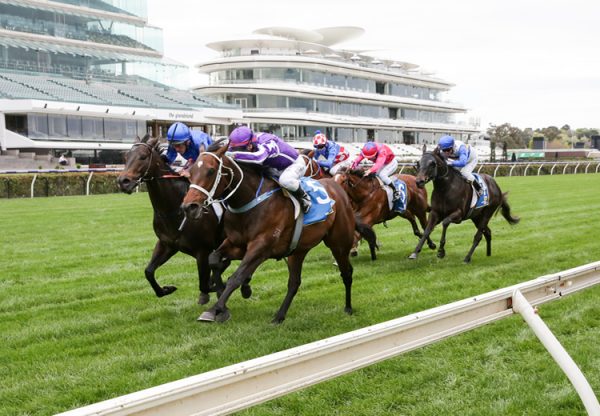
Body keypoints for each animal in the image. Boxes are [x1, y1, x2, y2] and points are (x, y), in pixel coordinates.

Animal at [116, 136, 230, 306]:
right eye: (125, 157)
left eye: (143, 156)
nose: (123, 181)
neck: (172, 209)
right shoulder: (167, 244)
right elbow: (148, 271)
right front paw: (166, 289)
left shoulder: (203, 251)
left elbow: (204, 284)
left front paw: (217, 287)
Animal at [180, 143, 358, 324]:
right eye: (191, 172)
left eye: (210, 171)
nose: (189, 207)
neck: (251, 200)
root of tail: (336, 187)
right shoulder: (237, 244)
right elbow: (214, 259)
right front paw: (224, 295)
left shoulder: (261, 246)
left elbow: (236, 277)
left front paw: (215, 309)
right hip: (298, 250)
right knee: (294, 283)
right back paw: (279, 316)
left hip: (339, 244)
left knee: (347, 272)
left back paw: (348, 308)